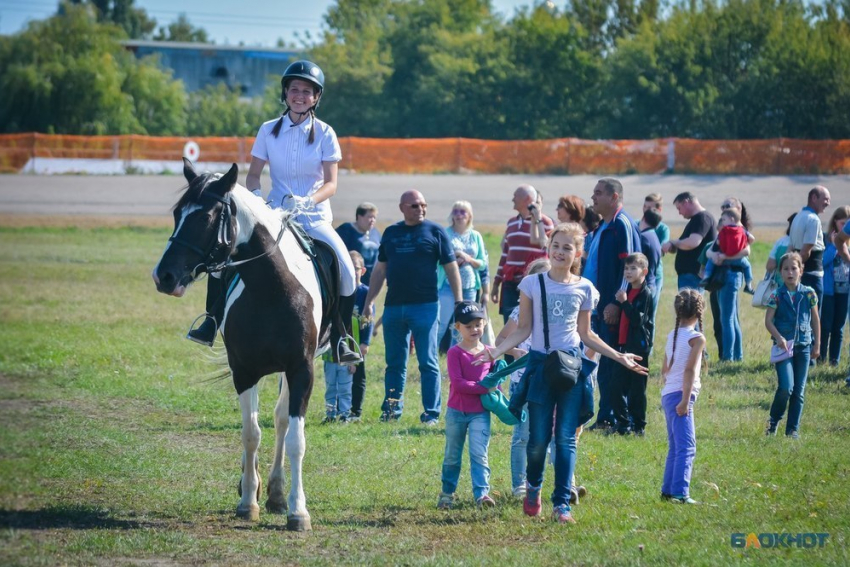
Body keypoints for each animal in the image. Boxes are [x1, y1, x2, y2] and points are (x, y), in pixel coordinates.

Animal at [152, 160, 328, 532]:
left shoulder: (301, 369)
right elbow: (250, 434)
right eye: (176, 214)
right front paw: (248, 500)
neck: (272, 289)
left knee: (282, 421)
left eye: (205, 218)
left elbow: (296, 438)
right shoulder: (244, 370)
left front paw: (298, 511)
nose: (164, 277)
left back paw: (278, 493)